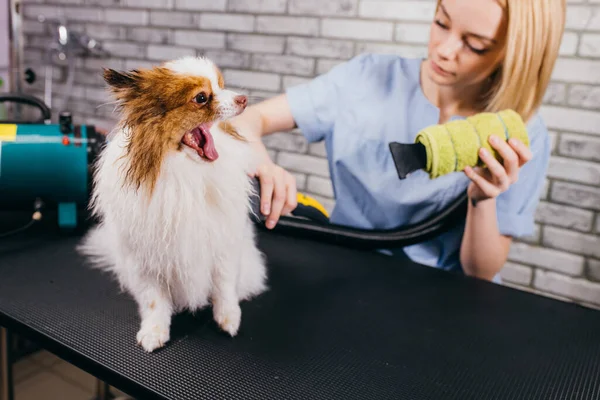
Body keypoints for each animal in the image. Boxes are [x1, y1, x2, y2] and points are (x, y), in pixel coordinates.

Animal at [77, 57, 268, 354]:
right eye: (201, 98)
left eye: (221, 85)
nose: (243, 99)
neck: (184, 172)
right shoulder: (146, 258)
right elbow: (154, 300)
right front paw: (154, 331)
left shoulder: (223, 244)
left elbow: (224, 286)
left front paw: (228, 317)